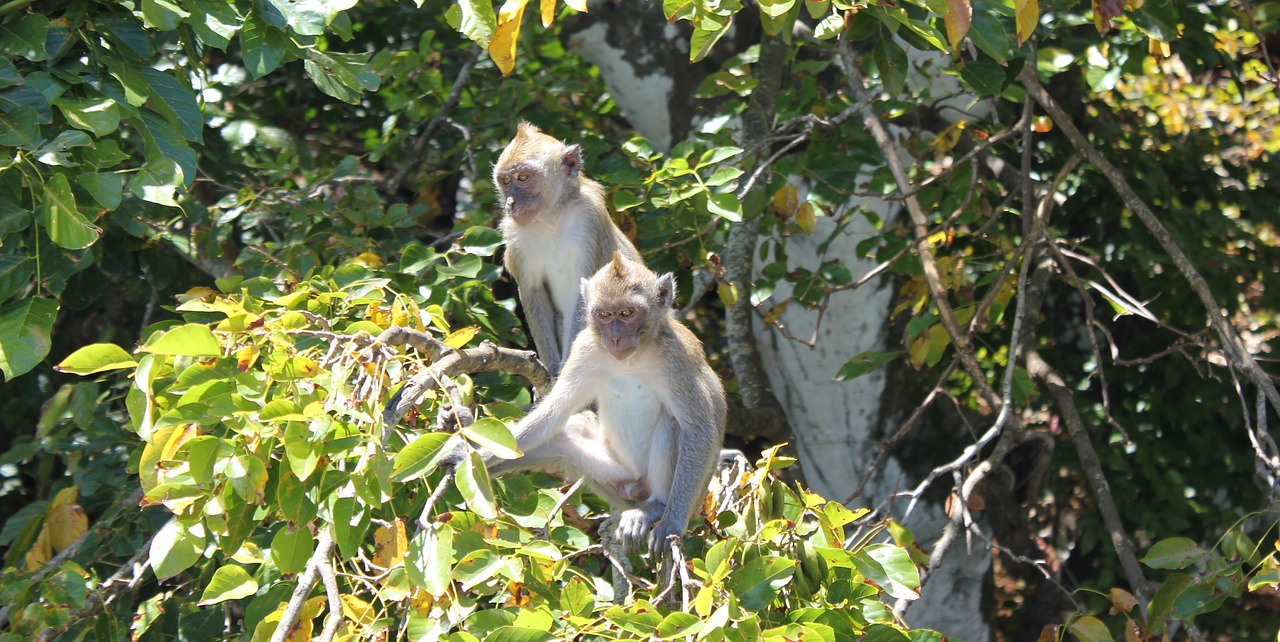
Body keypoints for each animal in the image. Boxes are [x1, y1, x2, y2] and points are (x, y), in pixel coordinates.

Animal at [448, 250, 732, 557]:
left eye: (628, 313)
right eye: (605, 315)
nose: (615, 337)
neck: (632, 358)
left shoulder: (675, 358)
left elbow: (699, 429)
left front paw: (672, 523)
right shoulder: (585, 348)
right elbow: (553, 413)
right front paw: (468, 455)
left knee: (673, 421)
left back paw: (655, 508)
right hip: (615, 475)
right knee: (566, 435)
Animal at [488, 120, 640, 375]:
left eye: (523, 177)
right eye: (506, 181)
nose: (511, 203)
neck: (551, 218)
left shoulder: (588, 219)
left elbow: (583, 293)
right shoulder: (516, 235)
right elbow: (533, 291)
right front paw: (551, 369)